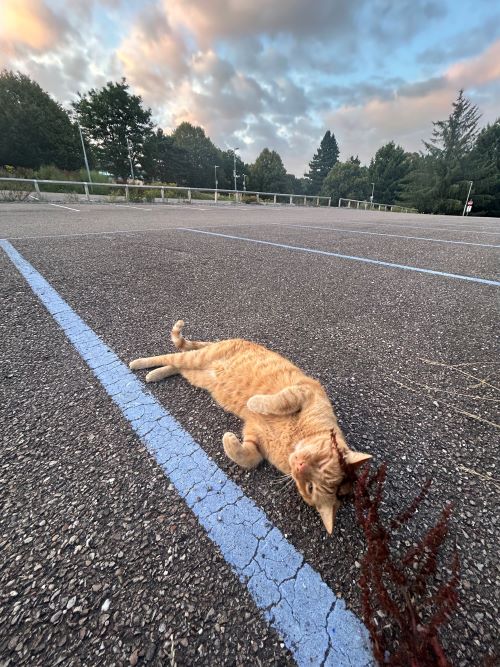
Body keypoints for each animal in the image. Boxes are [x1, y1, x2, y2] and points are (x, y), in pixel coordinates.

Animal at [129, 320, 372, 536]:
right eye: (320, 462)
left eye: (311, 487)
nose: (299, 465)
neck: (293, 442)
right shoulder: (303, 392)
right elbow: (277, 401)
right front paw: (254, 402)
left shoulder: (254, 439)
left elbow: (248, 457)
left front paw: (229, 441)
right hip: (199, 357)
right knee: (171, 354)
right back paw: (139, 363)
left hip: (195, 373)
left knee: (176, 365)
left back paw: (155, 374)